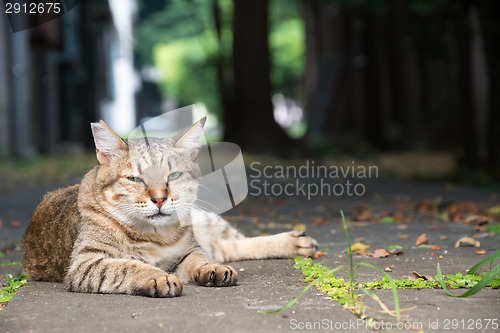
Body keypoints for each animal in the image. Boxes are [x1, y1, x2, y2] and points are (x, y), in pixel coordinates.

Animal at [21, 118, 318, 296]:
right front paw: (157, 276)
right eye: (135, 179)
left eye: (173, 176)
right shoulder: (86, 263)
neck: (155, 235)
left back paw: (294, 242)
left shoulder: (189, 251)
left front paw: (211, 270)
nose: (160, 198)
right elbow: (127, 266)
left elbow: (200, 259)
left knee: (235, 244)